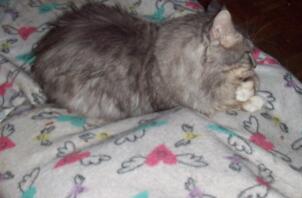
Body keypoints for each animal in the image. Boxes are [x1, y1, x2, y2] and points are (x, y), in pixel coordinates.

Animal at [31, 1, 264, 124]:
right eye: (248, 53)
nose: (256, 64)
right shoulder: (193, 100)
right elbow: (230, 97)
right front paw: (251, 97)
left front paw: (249, 91)